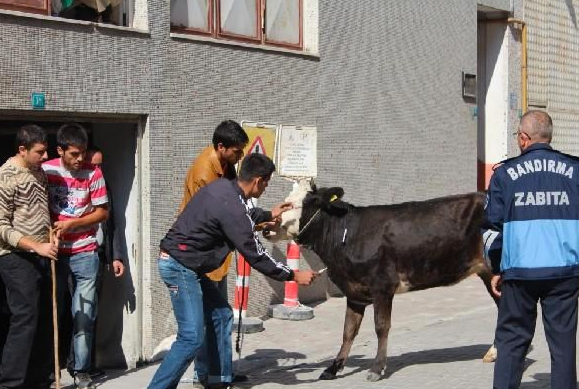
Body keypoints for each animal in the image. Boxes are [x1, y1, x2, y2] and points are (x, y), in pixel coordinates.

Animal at [266, 180, 498, 380]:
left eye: (307, 202)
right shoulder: (354, 292)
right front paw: (332, 368)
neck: (347, 235)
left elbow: (381, 326)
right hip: (488, 273)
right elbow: (348, 331)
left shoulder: (382, 287)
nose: (268, 226)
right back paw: (493, 352)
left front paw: (377, 368)